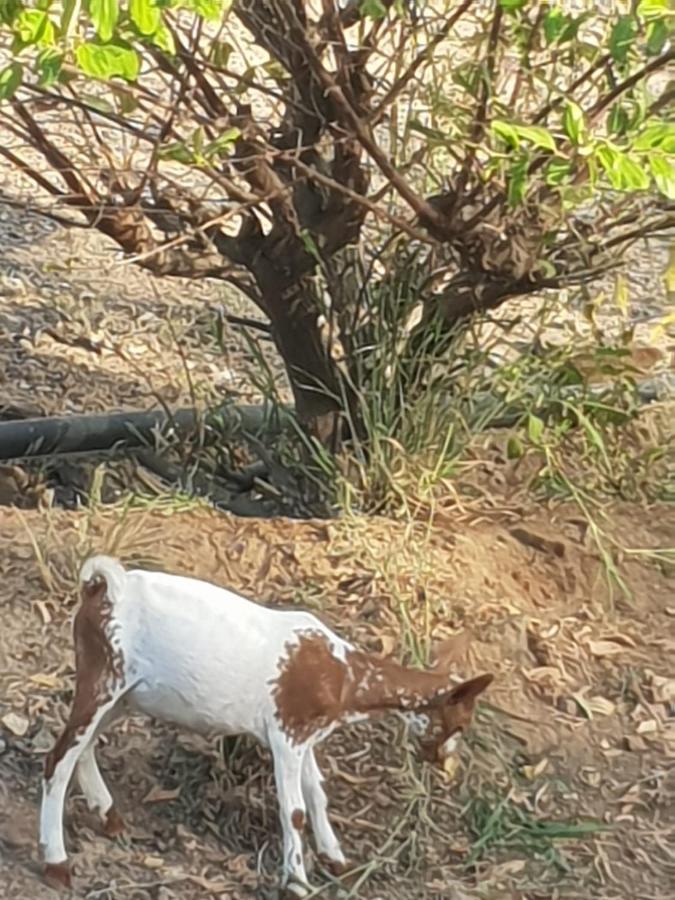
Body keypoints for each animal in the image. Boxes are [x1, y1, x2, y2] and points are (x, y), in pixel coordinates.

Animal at [38, 556, 492, 892]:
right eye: (460, 724)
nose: (446, 764)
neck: (344, 676)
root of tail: (102, 587)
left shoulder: (305, 736)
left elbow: (317, 793)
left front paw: (335, 860)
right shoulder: (286, 734)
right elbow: (294, 810)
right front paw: (297, 881)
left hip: (124, 695)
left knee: (83, 746)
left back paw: (108, 815)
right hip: (103, 677)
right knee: (58, 757)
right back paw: (57, 863)